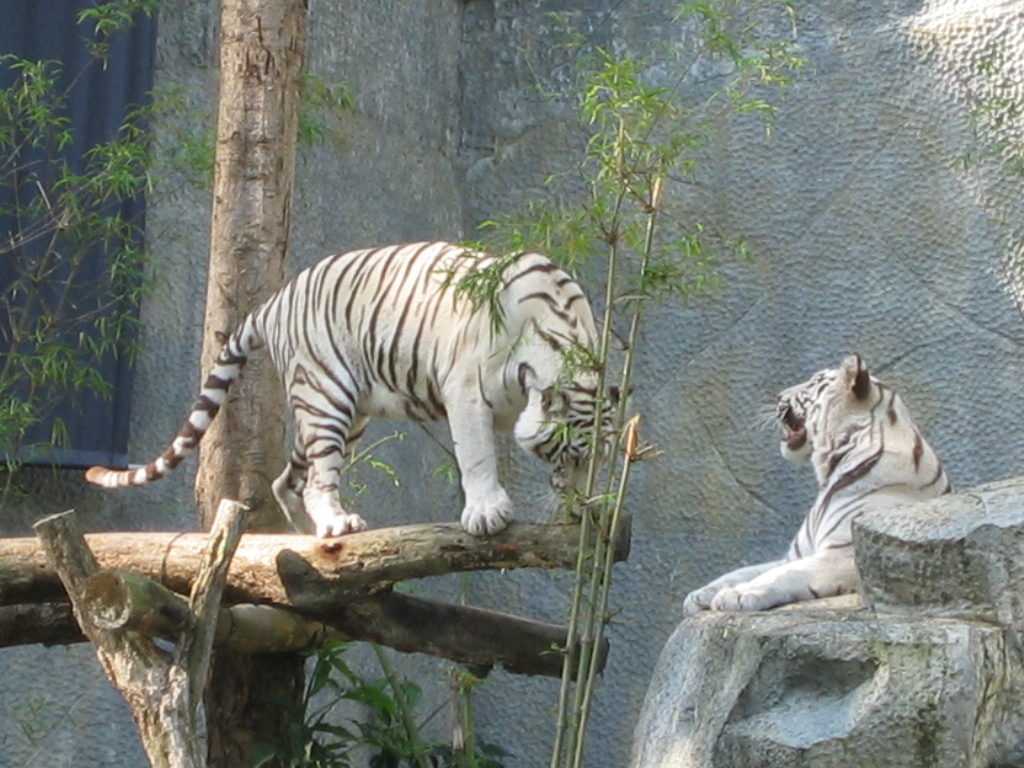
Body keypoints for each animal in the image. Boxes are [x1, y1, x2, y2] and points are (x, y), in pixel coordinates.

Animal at [88, 243, 610, 536]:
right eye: (569, 454)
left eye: (596, 463)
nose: (581, 505)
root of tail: (274, 301)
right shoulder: (465, 389)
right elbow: (477, 454)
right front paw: (487, 513)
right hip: (327, 396)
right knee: (319, 479)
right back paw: (336, 523)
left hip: (341, 409)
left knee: (289, 479)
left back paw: (309, 533)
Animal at [679, 356, 950, 618]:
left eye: (814, 382)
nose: (779, 396)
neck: (829, 470)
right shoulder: (797, 554)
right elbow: (748, 570)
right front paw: (700, 594)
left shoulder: (843, 554)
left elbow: (784, 574)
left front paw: (736, 595)